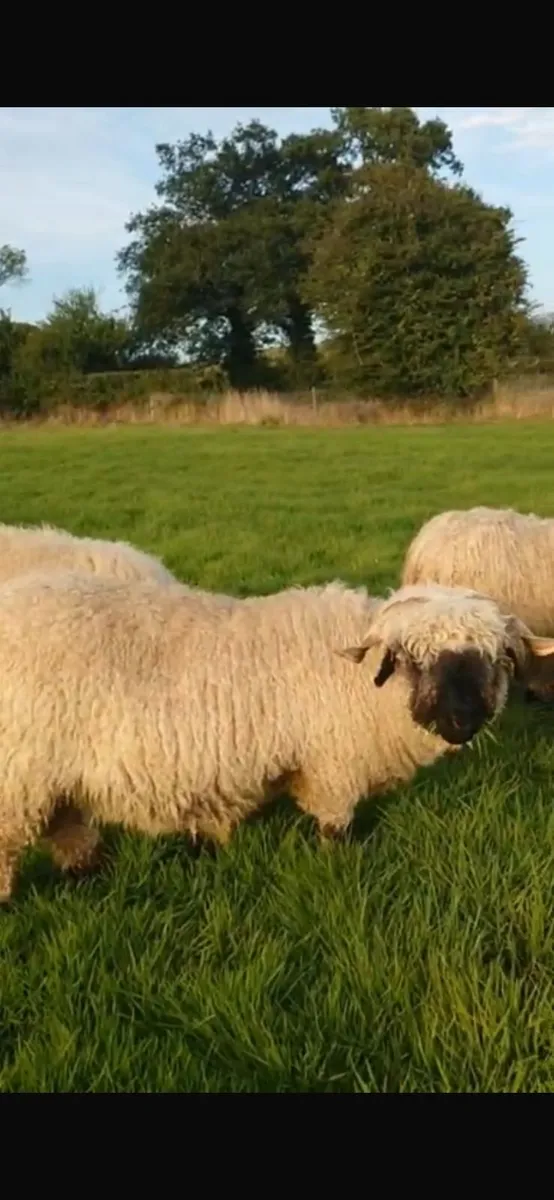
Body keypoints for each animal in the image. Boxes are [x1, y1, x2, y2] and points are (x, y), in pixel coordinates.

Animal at [1, 572, 553, 902]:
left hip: (50, 777)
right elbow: (334, 829)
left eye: (497, 658)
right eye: (413, 659)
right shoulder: (332, 770)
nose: (462, 722)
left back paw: (88, 877)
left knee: (67, 827)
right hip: (16, 782)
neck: (363, 688)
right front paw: (335, 868)